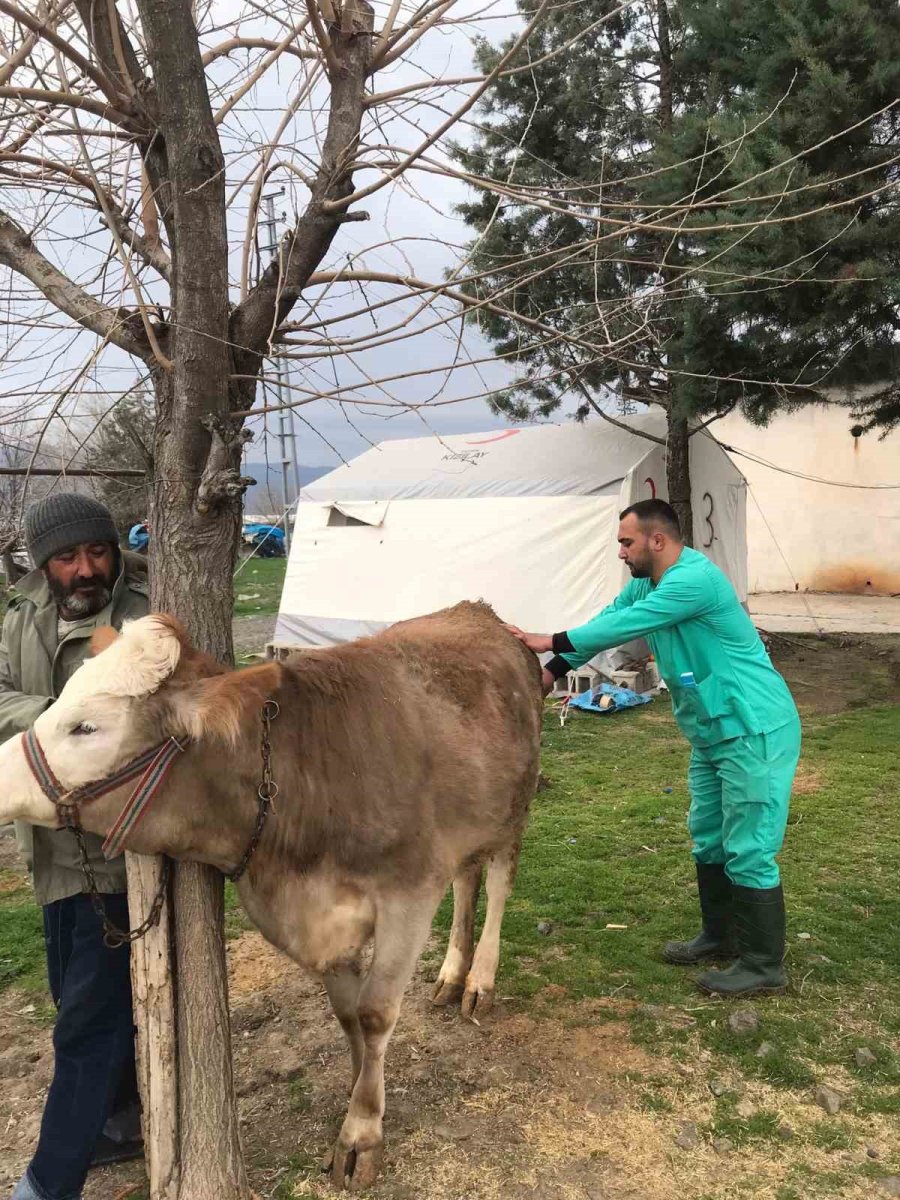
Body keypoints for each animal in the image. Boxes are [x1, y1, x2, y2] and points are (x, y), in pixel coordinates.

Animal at [0, 600, 542, 1190]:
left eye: (86, 727)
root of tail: (478, 612)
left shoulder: (409, 893)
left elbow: (375, 1013)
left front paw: (361, 1133)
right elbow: (348, 1015)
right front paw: (360, 1088)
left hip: (515, 810)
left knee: (498, 882)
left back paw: (479, 980)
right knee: (467, 881)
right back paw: (450, 973)